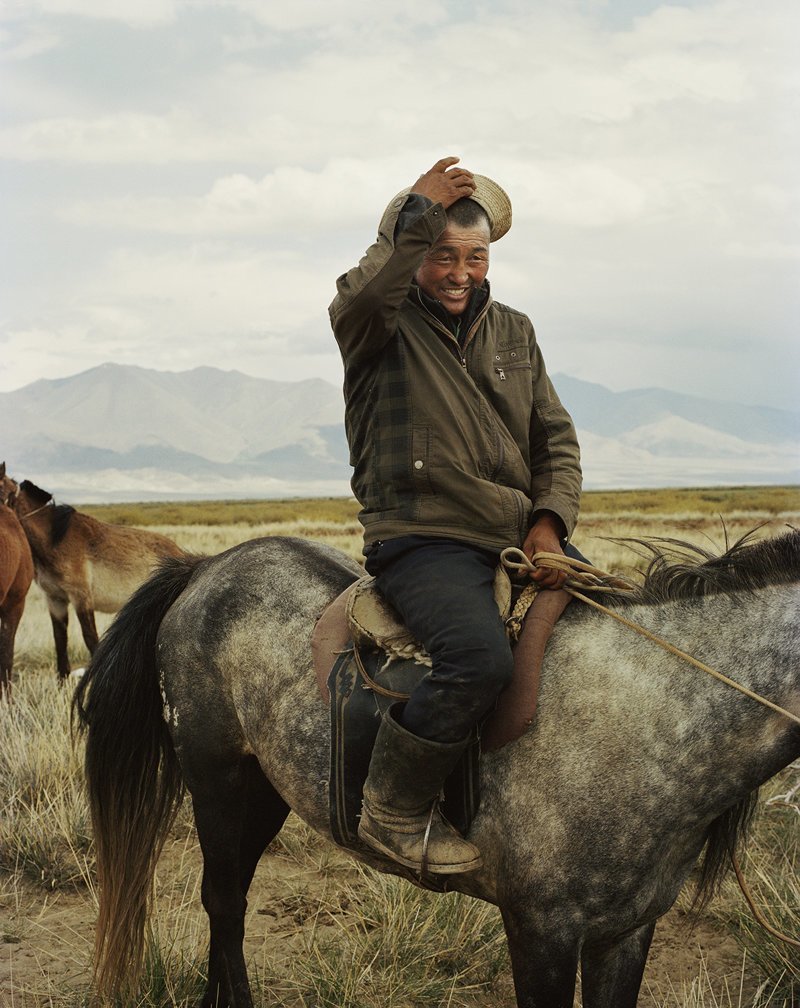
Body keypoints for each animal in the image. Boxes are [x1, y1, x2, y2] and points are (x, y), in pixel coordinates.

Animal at [71, 528, 793, 1008]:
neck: (653, 708)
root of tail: (204, 568)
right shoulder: (543, 929)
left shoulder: (628, 932)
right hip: (217, 780)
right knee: (223, 900)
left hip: (263, 788)